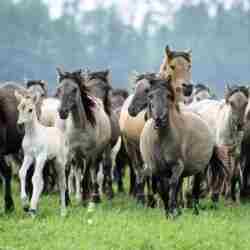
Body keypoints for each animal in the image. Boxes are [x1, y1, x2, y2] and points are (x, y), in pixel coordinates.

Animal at [56, 67, 111, 204]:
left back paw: (94, 196)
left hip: (96, 153)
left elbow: (86, 174)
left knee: (93, 170)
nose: (62, 112)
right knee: (78, 171)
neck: (78, 127)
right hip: (78, 156)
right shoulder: (69, 151)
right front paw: (66, 199)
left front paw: (85, 198)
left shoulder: (89, 153)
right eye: (59, 89)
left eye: (75, 89)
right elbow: (67, 171)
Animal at [140, 75, 226, 218]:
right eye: (150, 96)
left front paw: (172, 211)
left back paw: (195, 211)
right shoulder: (157, 169)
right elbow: (162, 189)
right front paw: (168, 212)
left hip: (199, 170)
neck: (161, 139)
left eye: (168, 95)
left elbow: (172, 185)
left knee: (194, 189)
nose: (159, 119)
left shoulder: (177, 165)